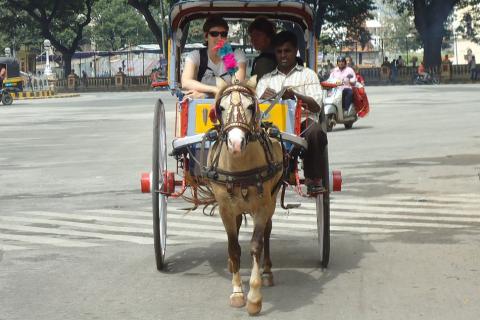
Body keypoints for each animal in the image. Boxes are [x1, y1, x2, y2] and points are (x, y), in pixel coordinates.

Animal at [204, 77, 284, 316]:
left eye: (250, 106)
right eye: (221, 108)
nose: (236, 143)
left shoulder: (262, 207)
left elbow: (256, 245)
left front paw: (254, 298)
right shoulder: (225, 209)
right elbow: (234, 247)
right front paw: (237, 292)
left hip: (272, 199)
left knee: (267, 232)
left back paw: (267, 272)